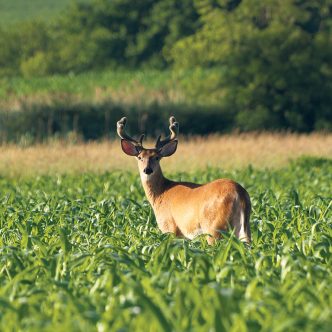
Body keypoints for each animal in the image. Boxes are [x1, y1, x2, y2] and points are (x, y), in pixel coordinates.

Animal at [116, 116, 252, 244]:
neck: (161, 193)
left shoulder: (169, 227)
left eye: (157, 157)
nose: (147, 170)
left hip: (214, 228)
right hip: (244, 229)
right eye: (139, 157)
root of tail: (239, 193)